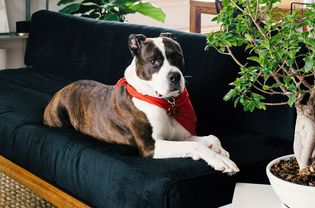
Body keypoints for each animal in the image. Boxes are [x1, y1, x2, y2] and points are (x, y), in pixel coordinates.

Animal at [42, 33, 239, 174]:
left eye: (178, 57)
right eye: (153, 61)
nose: (175, 76)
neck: (164, 102)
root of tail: (62, 88)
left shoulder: (178, 136)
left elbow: (211, 137)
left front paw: (220, 151)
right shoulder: (151, 146)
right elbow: (196, 145)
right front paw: (220, 160)